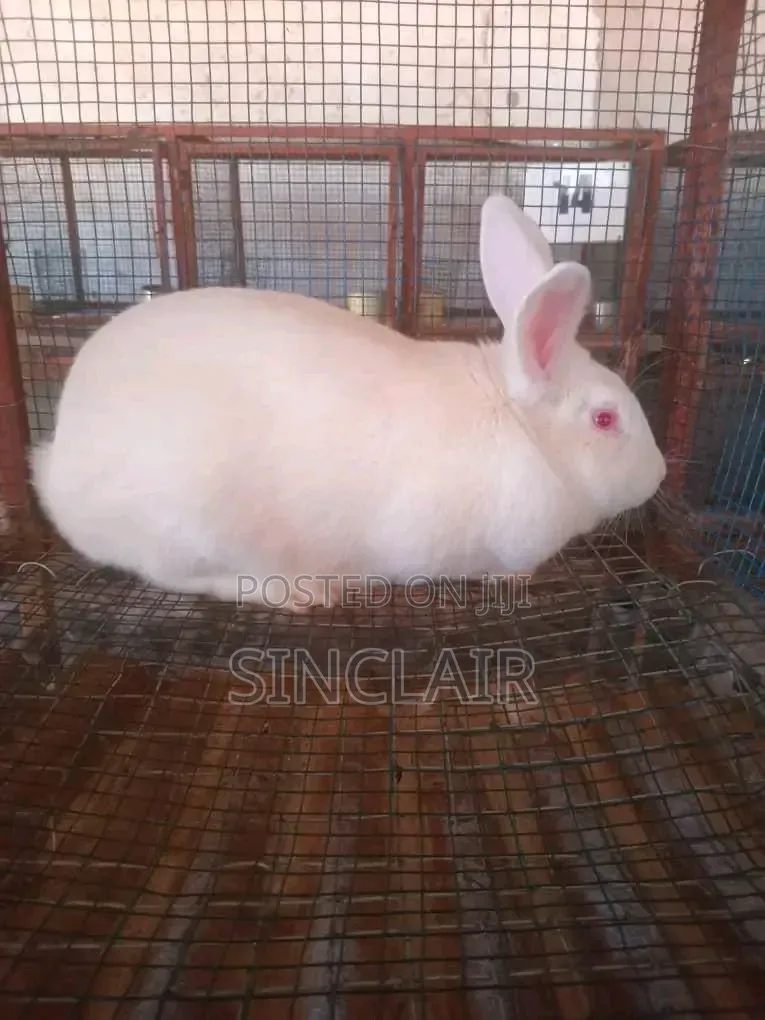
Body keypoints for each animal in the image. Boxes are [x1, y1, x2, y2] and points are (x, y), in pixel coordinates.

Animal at [29, 193, 666, 612]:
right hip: (193, 526)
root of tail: (58, 469)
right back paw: (306, 592)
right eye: (605, 418)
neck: (518, 426)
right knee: (183, 579)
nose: (660, 475)